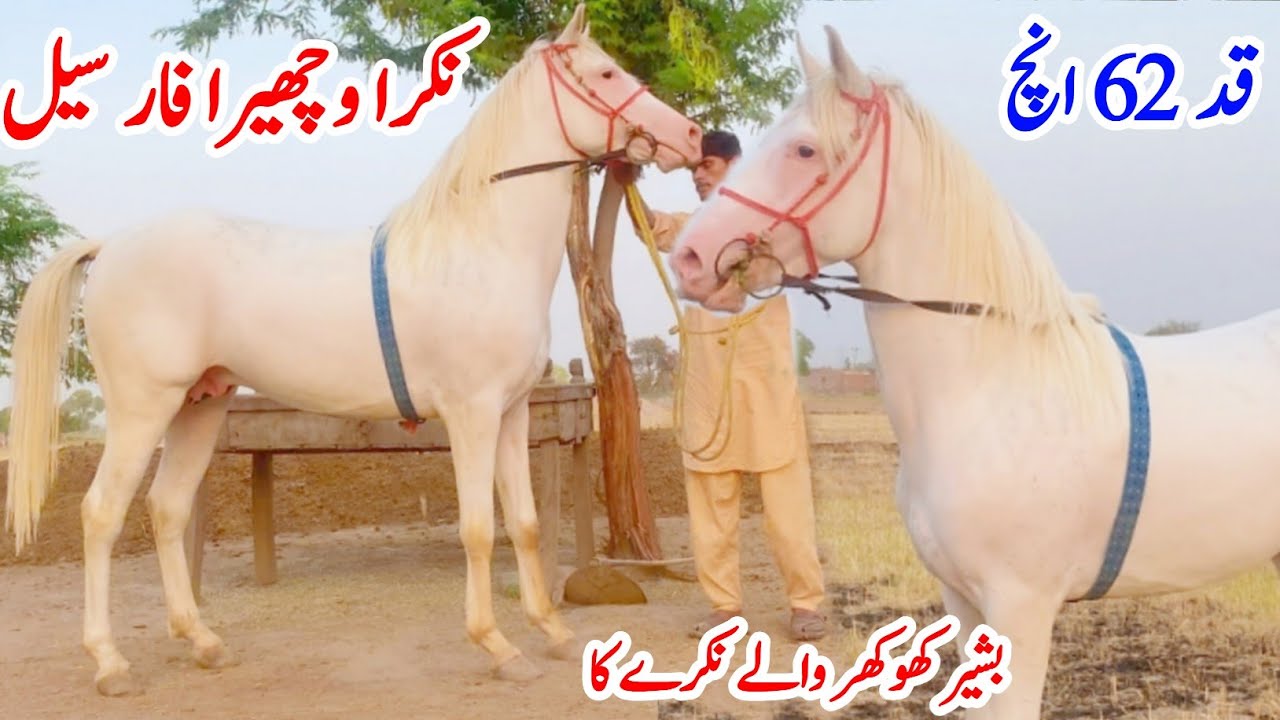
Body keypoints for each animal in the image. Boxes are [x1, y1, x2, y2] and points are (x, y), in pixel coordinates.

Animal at [4, 3, 702, 696]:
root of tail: (112, 245)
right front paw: (498, 646)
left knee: (167, 509)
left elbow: (526, 526)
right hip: (142, 409)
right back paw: (109, 662)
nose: (693, 138)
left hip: (200, 405)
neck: (481, 247)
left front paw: (551, 632)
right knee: (102, 514)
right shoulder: (471, 416)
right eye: (606, 74)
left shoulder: (511, 414)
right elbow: (479, 530)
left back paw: (203, 642)